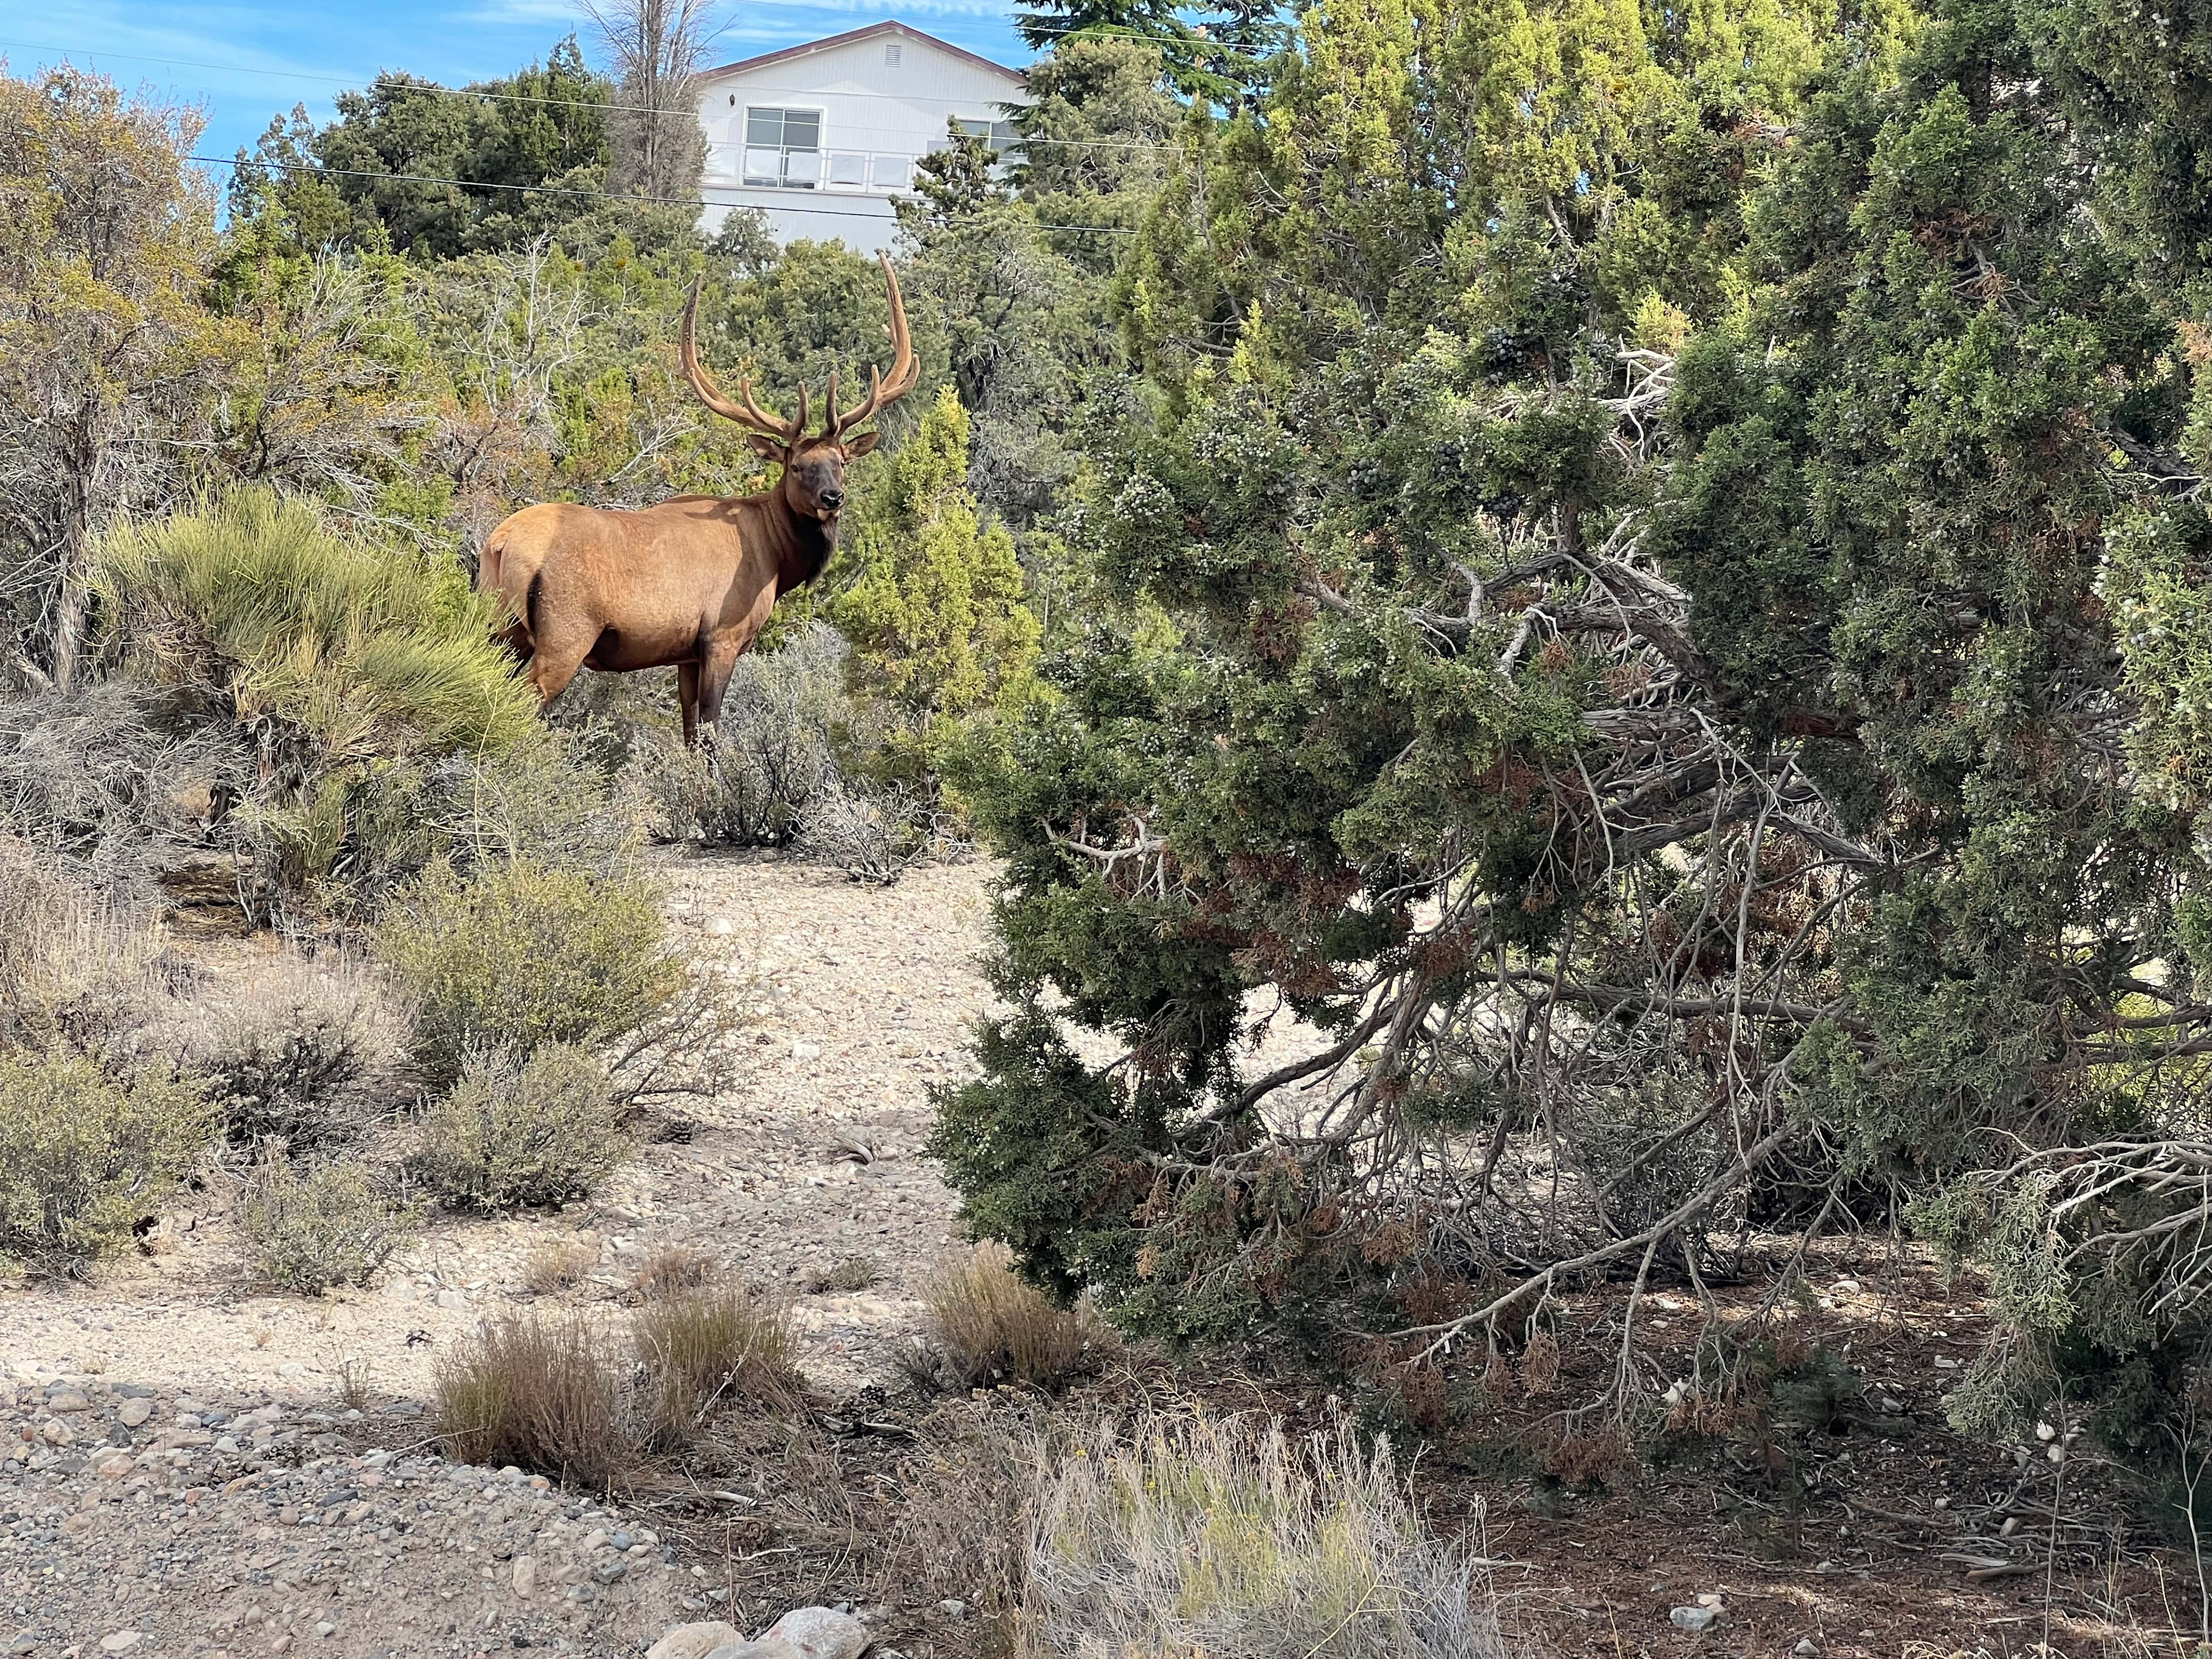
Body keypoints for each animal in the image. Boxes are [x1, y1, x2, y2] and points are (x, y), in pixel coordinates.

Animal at [475, 252, 919, 753]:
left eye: (841, 462)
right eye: (796, 467)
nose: (833, 497)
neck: (775, 557)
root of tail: (500, 543)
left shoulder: (685, 653)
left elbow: (689, 733)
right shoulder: (722, 636)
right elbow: (709, 733)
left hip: (500, 627)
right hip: (564, 635)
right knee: (521, 704)